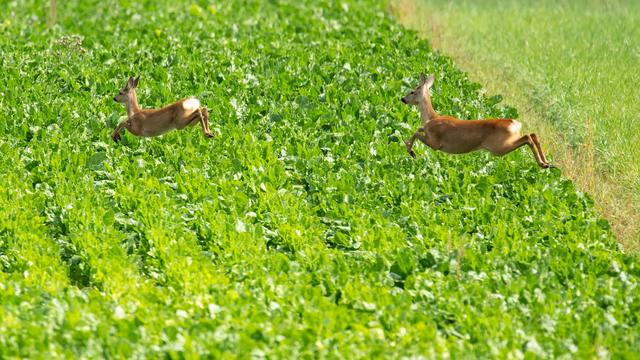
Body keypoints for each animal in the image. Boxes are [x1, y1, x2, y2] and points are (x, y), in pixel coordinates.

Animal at [400, 74, 552, 169]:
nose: (403, 99)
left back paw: (543, 164)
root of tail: (516, 123)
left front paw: (411, 151)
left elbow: (416, 132)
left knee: (528, 137)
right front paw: (410, 148)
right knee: (533, 134)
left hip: (499, 147)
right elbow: (418, 129)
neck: (432, 117)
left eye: (412, 91)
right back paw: (547, 163)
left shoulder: (436, 143)